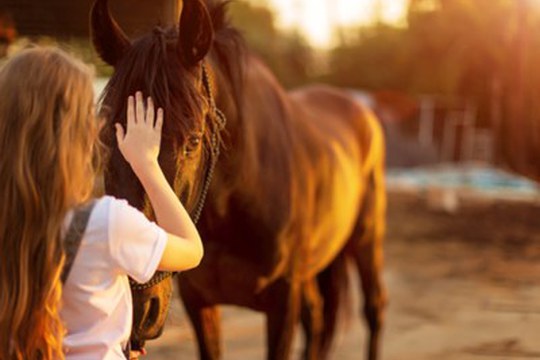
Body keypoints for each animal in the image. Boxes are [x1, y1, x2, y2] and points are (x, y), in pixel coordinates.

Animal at [92, 1, 388, 358]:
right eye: (105, 138)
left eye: (193, 141)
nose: (134, 308)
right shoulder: (200, 301)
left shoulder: (283, 302)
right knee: (318, 319)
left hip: (367, 239)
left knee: (373, 309)